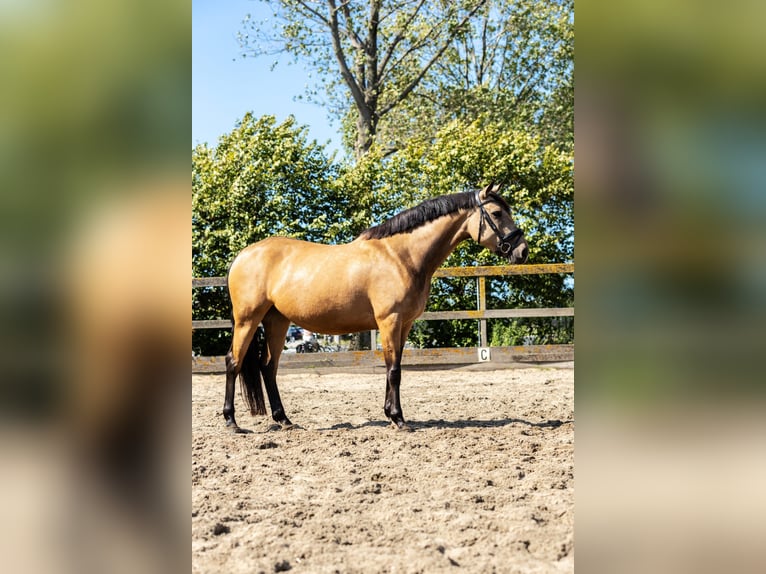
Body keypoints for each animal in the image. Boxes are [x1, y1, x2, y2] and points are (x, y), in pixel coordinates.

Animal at [225, 183, 532, 432]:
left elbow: (393, 367)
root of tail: (243, 255)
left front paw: (391, 415)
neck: (401, 256)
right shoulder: (389, 320)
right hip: (247, 320)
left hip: (277, 321)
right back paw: (232, 422)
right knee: (234, 362)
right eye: (496, 213)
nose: (522, 251)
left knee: (268, 367)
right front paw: (398, 419)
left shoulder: (404, 324)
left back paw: (284, 420)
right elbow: (393, 370)